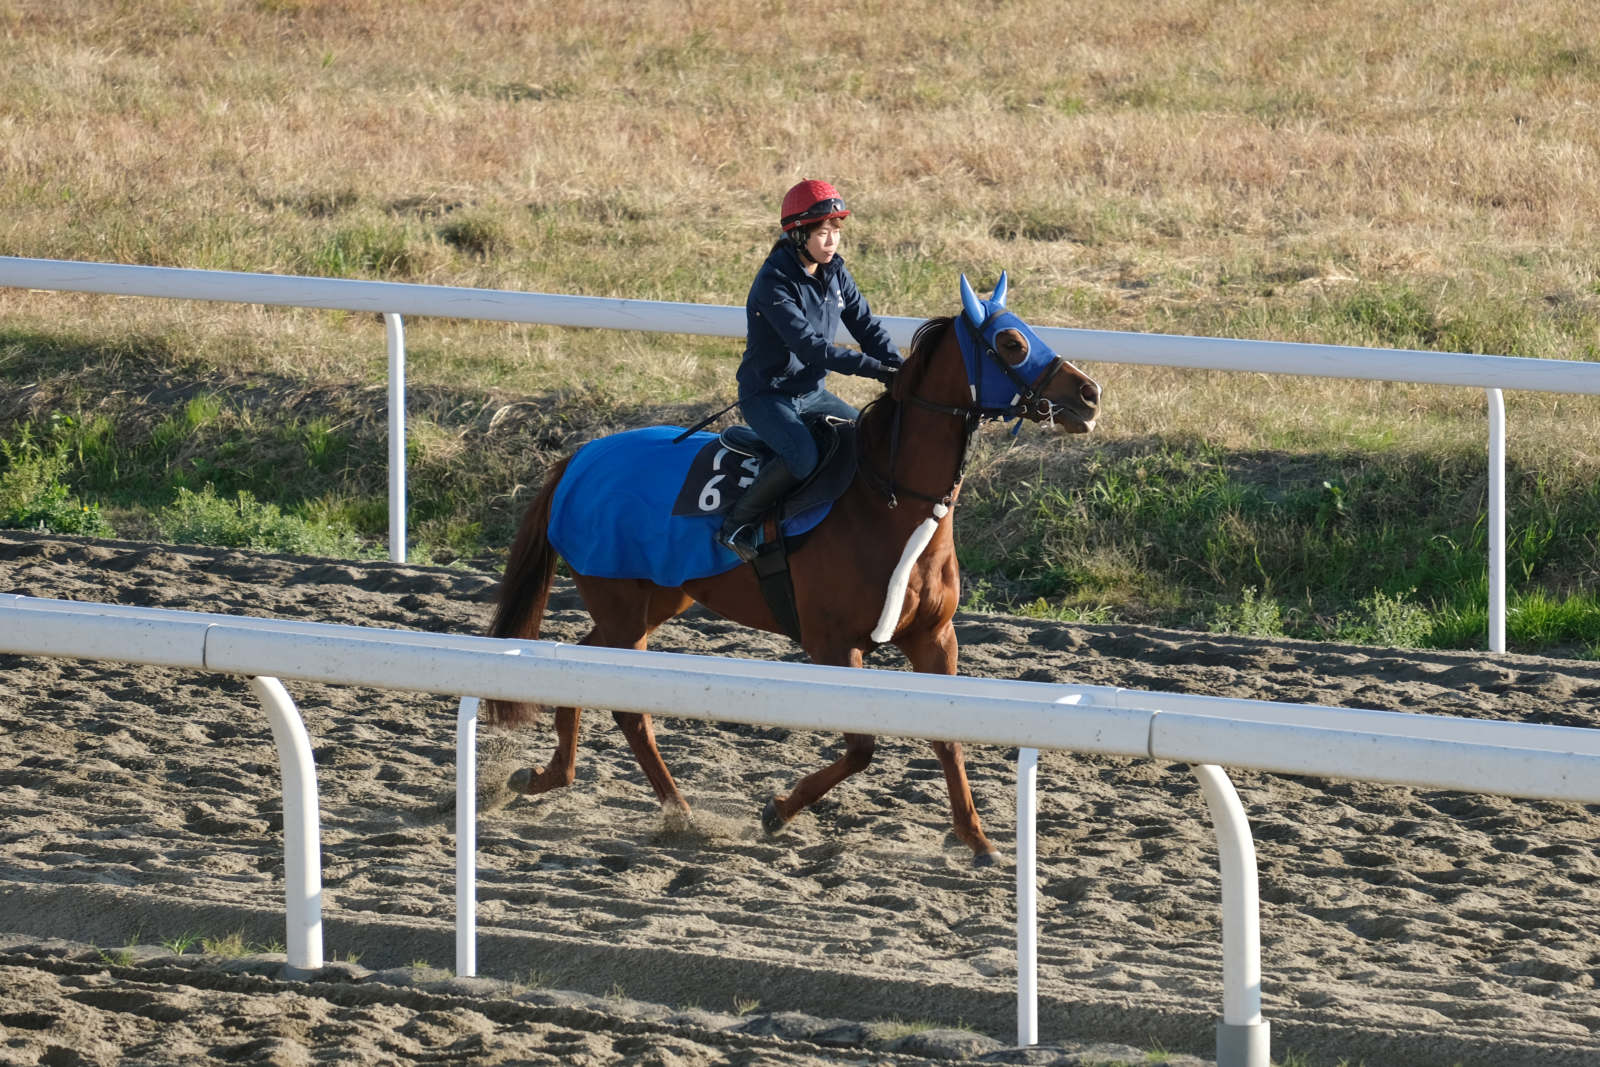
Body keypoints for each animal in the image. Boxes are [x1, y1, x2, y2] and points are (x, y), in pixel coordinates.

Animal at [476, 275, 1100, 870]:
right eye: (1012, 342)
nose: (1090, 395)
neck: (887, 500)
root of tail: (577, 459)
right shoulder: (833, 644)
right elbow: (862, 747)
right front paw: (777, 810)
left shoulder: (932, 636)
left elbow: (948, 738)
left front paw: (977, 840)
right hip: (622, 604)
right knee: (629, 708)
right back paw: (680, 812)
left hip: (654, 601)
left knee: (580, 669)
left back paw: (547, 776)